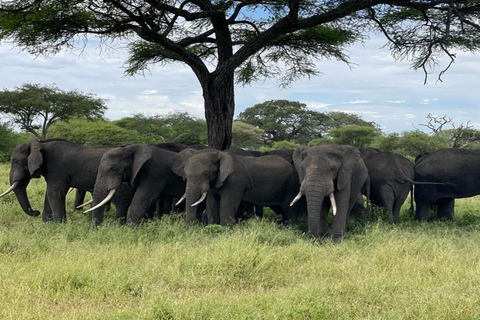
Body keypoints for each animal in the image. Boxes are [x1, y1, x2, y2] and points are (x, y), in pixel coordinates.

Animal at [0, 139, 130, 221]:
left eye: (16, 161)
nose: (36, 212)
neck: (41, 144)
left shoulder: (57, 169)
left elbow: (55, 193)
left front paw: (59, 224)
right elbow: (49, 194)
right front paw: (46, 223)